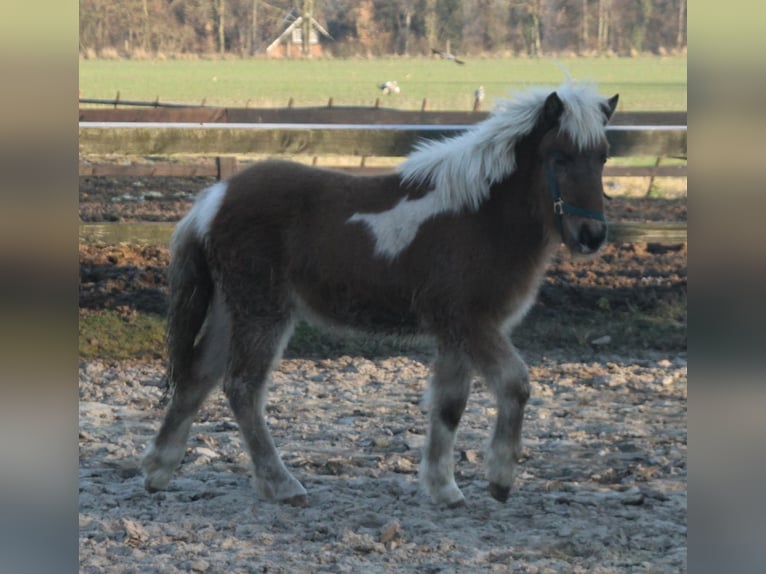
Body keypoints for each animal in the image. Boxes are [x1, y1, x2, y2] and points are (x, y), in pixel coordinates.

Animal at [141, 81, 619, 508]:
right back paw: (282, 484)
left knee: (198, 376)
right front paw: (499, 480)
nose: (591, 236)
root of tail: (214, 199)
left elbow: (449, 405)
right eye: (558, 157)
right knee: (242, 388)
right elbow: (515, 384)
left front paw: (444, 489)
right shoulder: (470, 322)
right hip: (263, 312)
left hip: (232, 308)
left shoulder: (456, 333)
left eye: (602, 158)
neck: (480, 217)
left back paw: (159, 471)